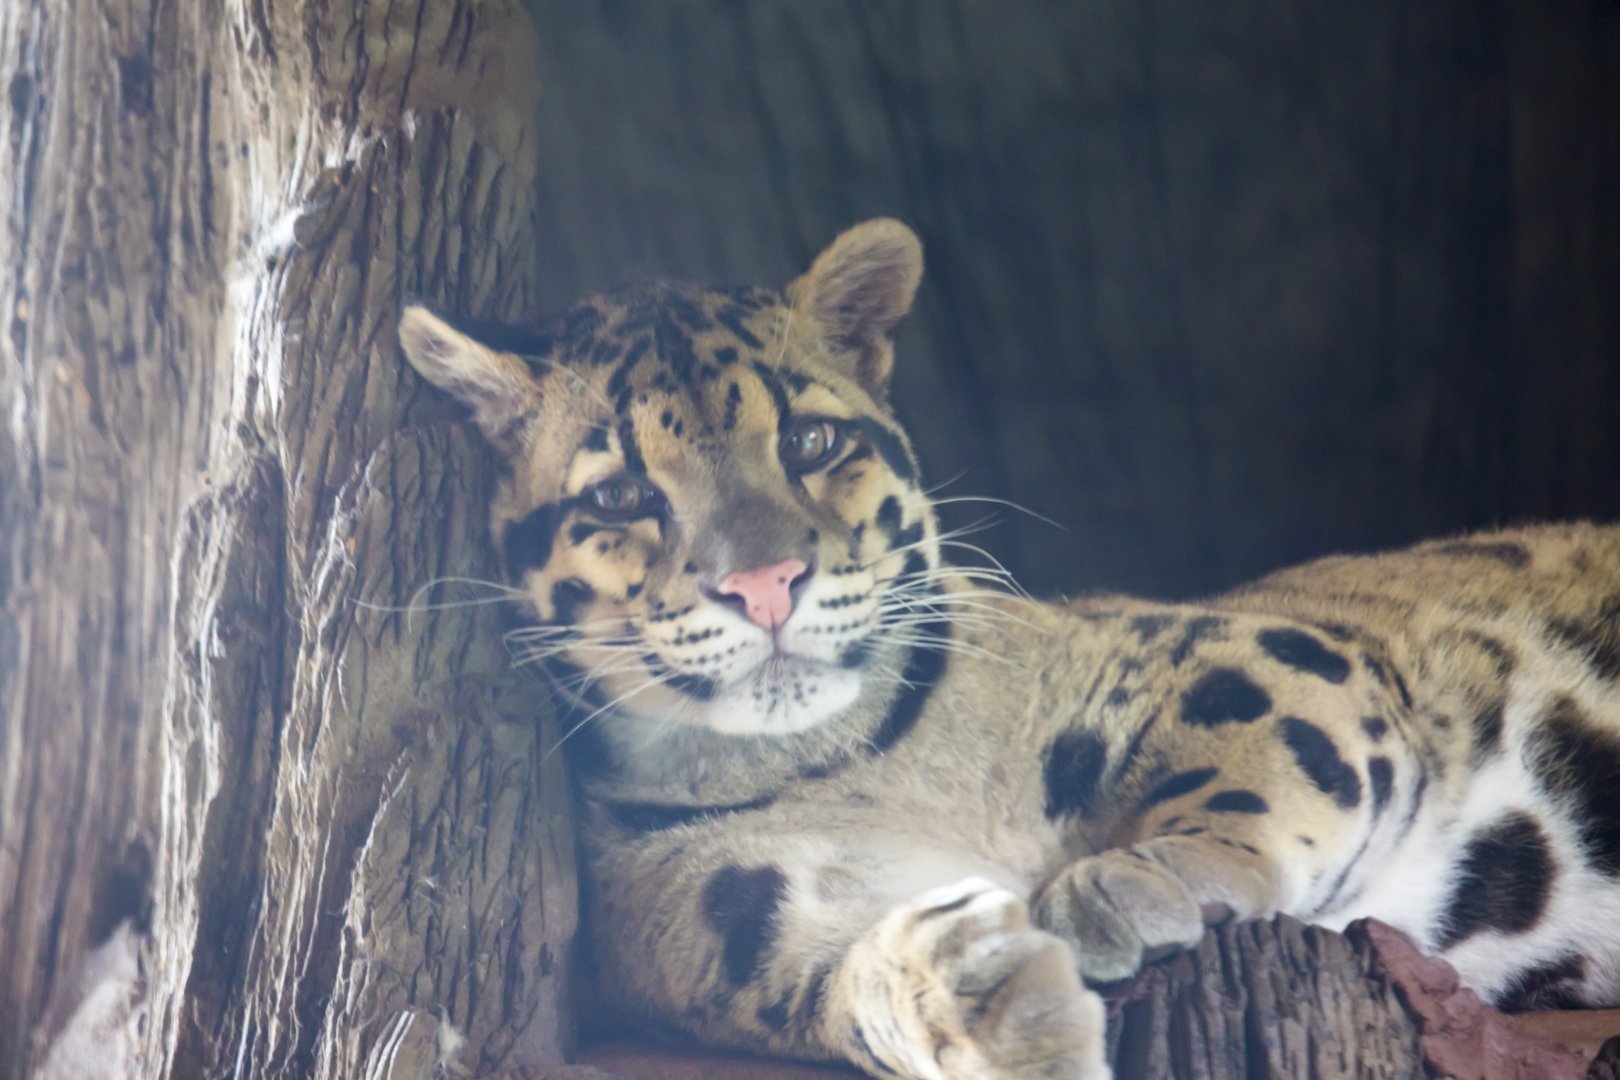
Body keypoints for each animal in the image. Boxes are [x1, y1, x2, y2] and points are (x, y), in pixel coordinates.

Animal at [397, 219, 1620, 1079]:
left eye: (812, 440)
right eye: (620, 496)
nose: (764, 584)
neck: (842, 761)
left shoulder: (1251, 645)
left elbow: (1250, 747)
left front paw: (1142, 878)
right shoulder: (712, 924)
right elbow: (844, 978)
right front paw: (978, 997)